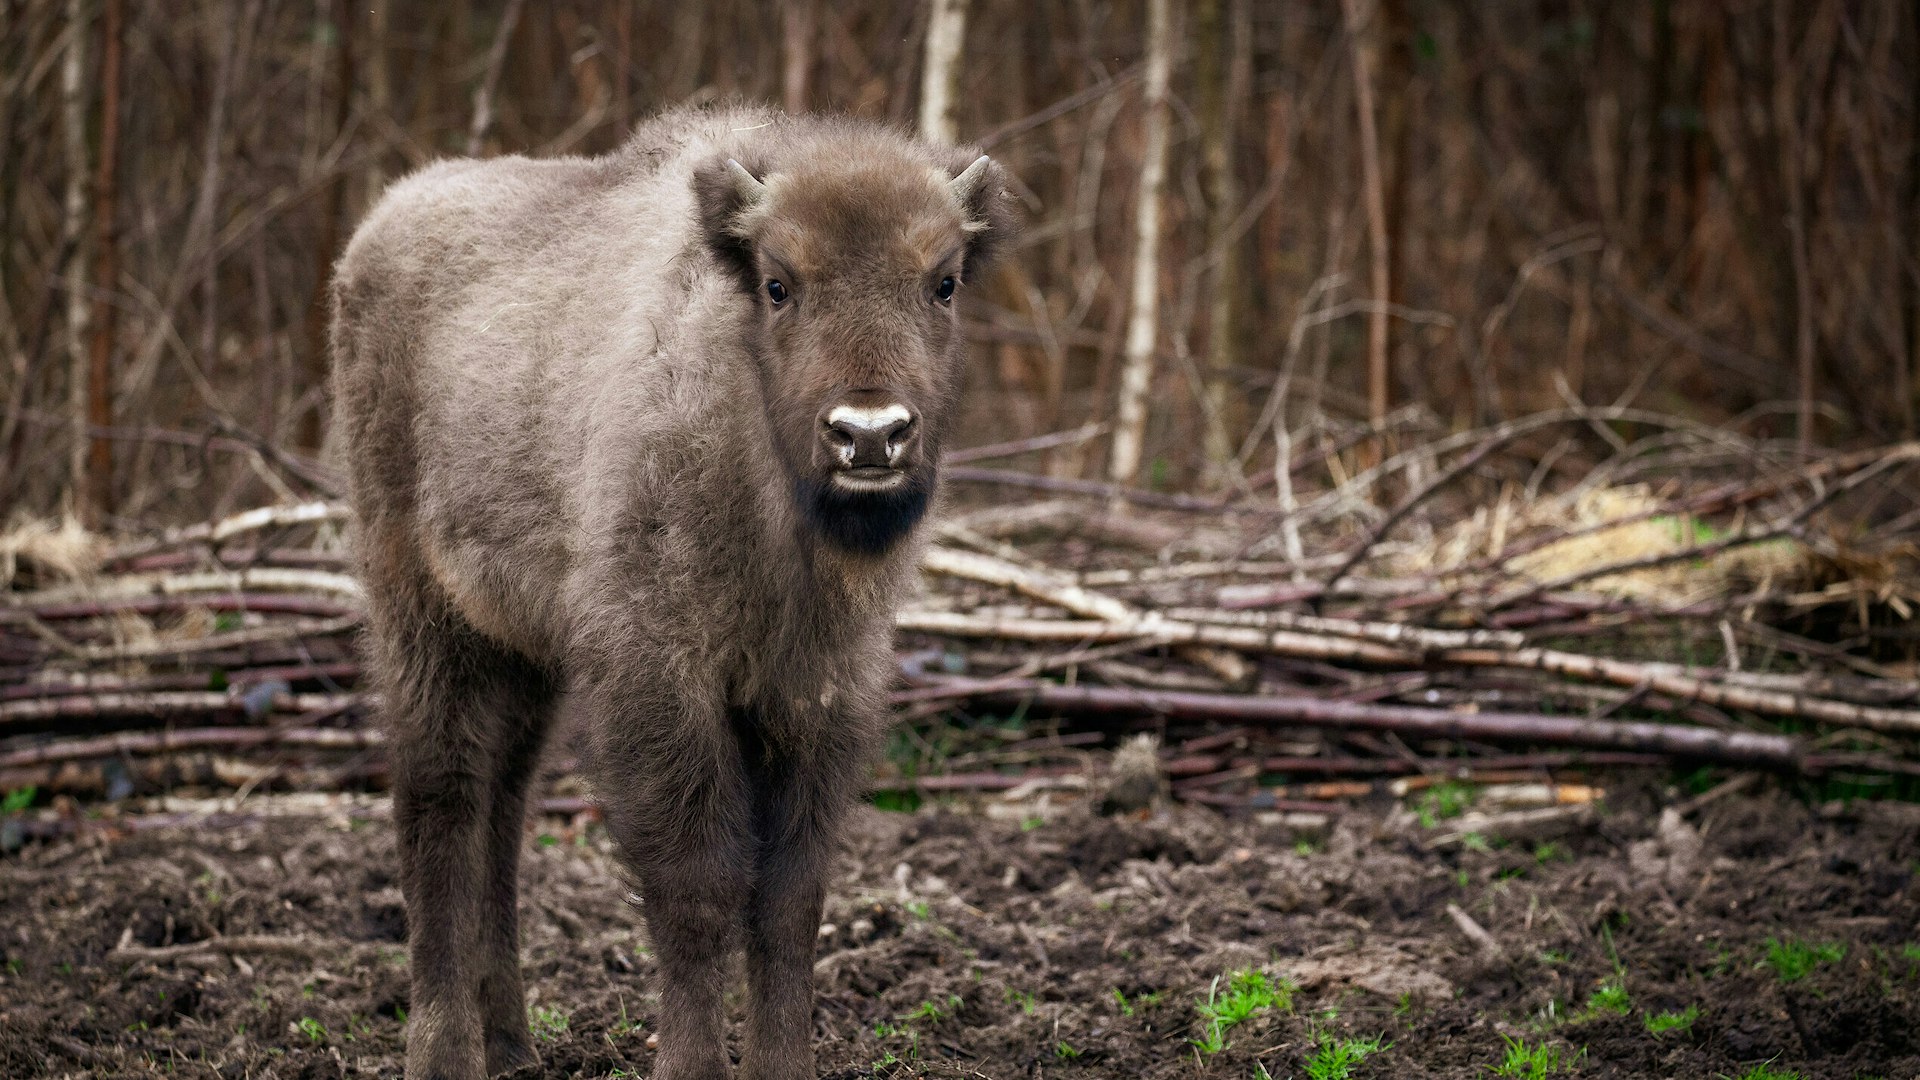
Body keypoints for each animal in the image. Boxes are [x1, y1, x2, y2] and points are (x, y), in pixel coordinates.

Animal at [326, 111, 1021, 1076]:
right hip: (422, 612)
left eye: (943, 281)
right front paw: (692, 1065)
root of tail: (372, 235)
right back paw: (446, 1053)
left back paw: (513, 1042)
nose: (869, 435)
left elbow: (789, 899)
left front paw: (783, 1067)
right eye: (778, 282)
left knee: (504, 806)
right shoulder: (658, 677)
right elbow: (698, 886)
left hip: (522, 649)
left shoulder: (817, 692)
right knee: (442, 800)